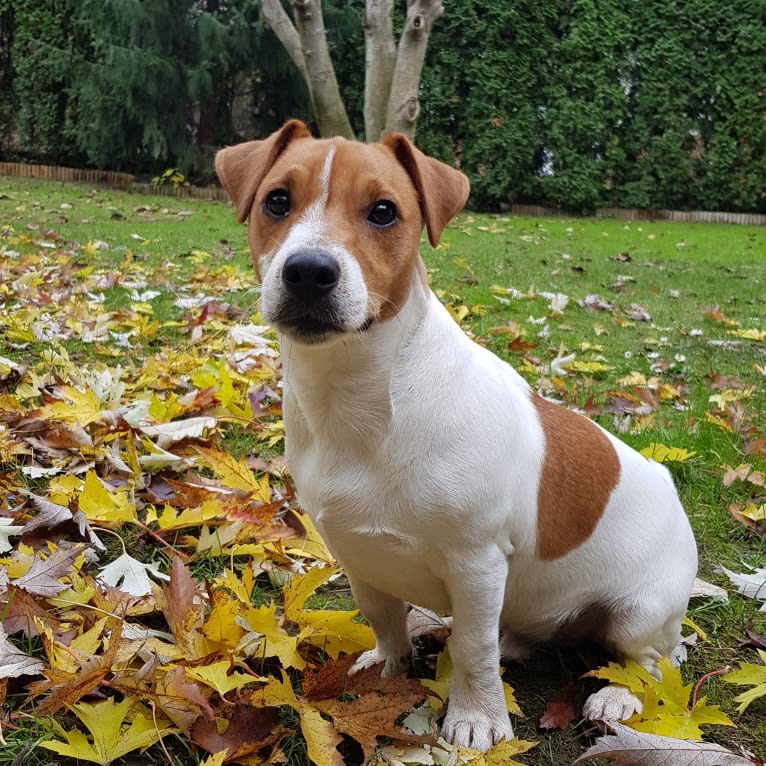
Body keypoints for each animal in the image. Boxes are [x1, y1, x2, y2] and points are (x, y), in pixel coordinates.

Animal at [214, 123, 696, 752]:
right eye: (276, 201)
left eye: (384, 211)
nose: (309, 271)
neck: (362, 397)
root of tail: (670, 488)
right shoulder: (355, 551)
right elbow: (383, 616)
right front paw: (388, 666)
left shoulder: (477, 563)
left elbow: (473, 647)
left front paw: (477, 718)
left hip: (639, 613)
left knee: (650, 662)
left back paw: (619, 692)